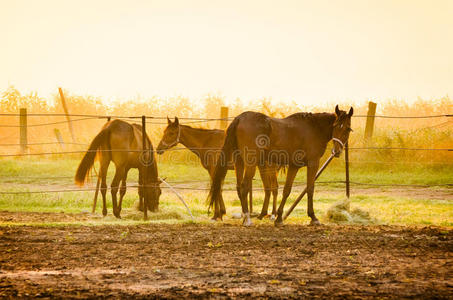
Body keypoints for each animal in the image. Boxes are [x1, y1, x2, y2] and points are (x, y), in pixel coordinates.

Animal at [208, 105, 354, 225]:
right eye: (335, 126)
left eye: (348, 129)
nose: (337, 151)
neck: (313, 128)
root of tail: (239, 118)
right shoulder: (313, 163)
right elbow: (310, 189)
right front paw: (313, 218)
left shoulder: (294, 166)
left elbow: (286, 190)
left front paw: (278, 218)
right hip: (250, 163)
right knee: (244, 187)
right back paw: (248, 219)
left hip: (239, 162)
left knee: (239, 187)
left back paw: (245, 216)